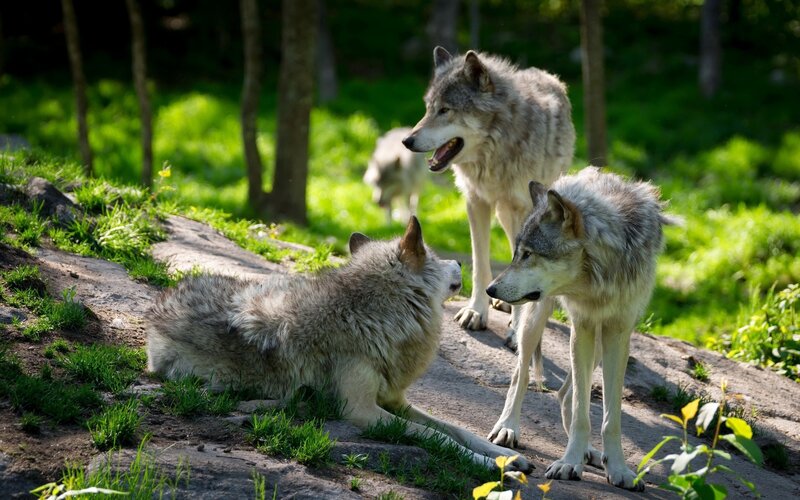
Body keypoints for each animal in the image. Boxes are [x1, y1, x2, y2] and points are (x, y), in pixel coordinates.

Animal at [146, 217, 528, 470]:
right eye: (433, 255)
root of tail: (160, 302)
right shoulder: (362, 411)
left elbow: (459, 430)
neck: (371, 315)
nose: (460, 261)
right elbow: (440, 438)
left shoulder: (395, 400)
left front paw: (509, 456)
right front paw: (494, 466)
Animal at [402, 46, 575, 369]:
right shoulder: (476, 202)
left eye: (445, 110)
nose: (407, 140)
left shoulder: (521, 209)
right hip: (503, 215)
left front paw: (516, 331)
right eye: (428, 108)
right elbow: (480, 264)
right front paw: (476, 311)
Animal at [485, 168, 678, 491]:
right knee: (521, 375)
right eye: (517, 254)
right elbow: (581, 413)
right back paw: (507, 428)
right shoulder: (582, 325)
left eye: (529, 254)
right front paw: (569, 463)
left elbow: (610, 417)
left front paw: (619, 469)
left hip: (598, 344)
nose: (490, 289)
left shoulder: (618, 331)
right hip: (536, 321)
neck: (600, 274)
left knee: (565, 394)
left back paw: (590, 452)